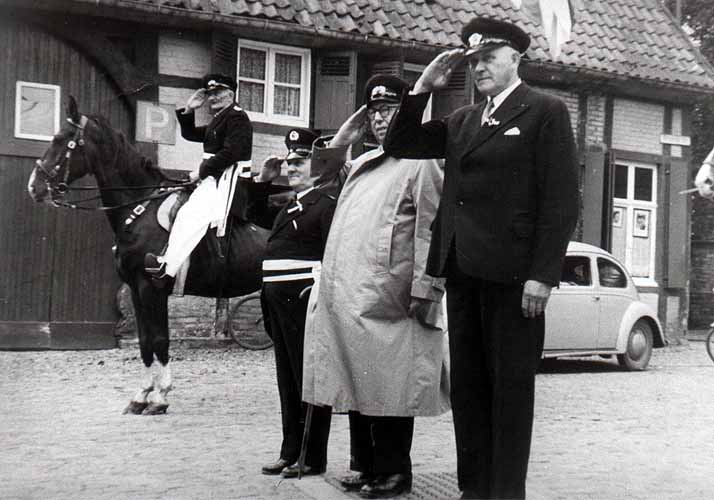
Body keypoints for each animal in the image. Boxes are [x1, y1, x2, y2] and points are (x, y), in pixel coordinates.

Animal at [27, 95, 270, 416]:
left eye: (60, 139)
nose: (34, 187)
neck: (139, 209)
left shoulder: (151, 288)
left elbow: (160, 339)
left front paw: (160, 397)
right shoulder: (135, 289)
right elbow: (144, 342)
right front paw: (141, 395)